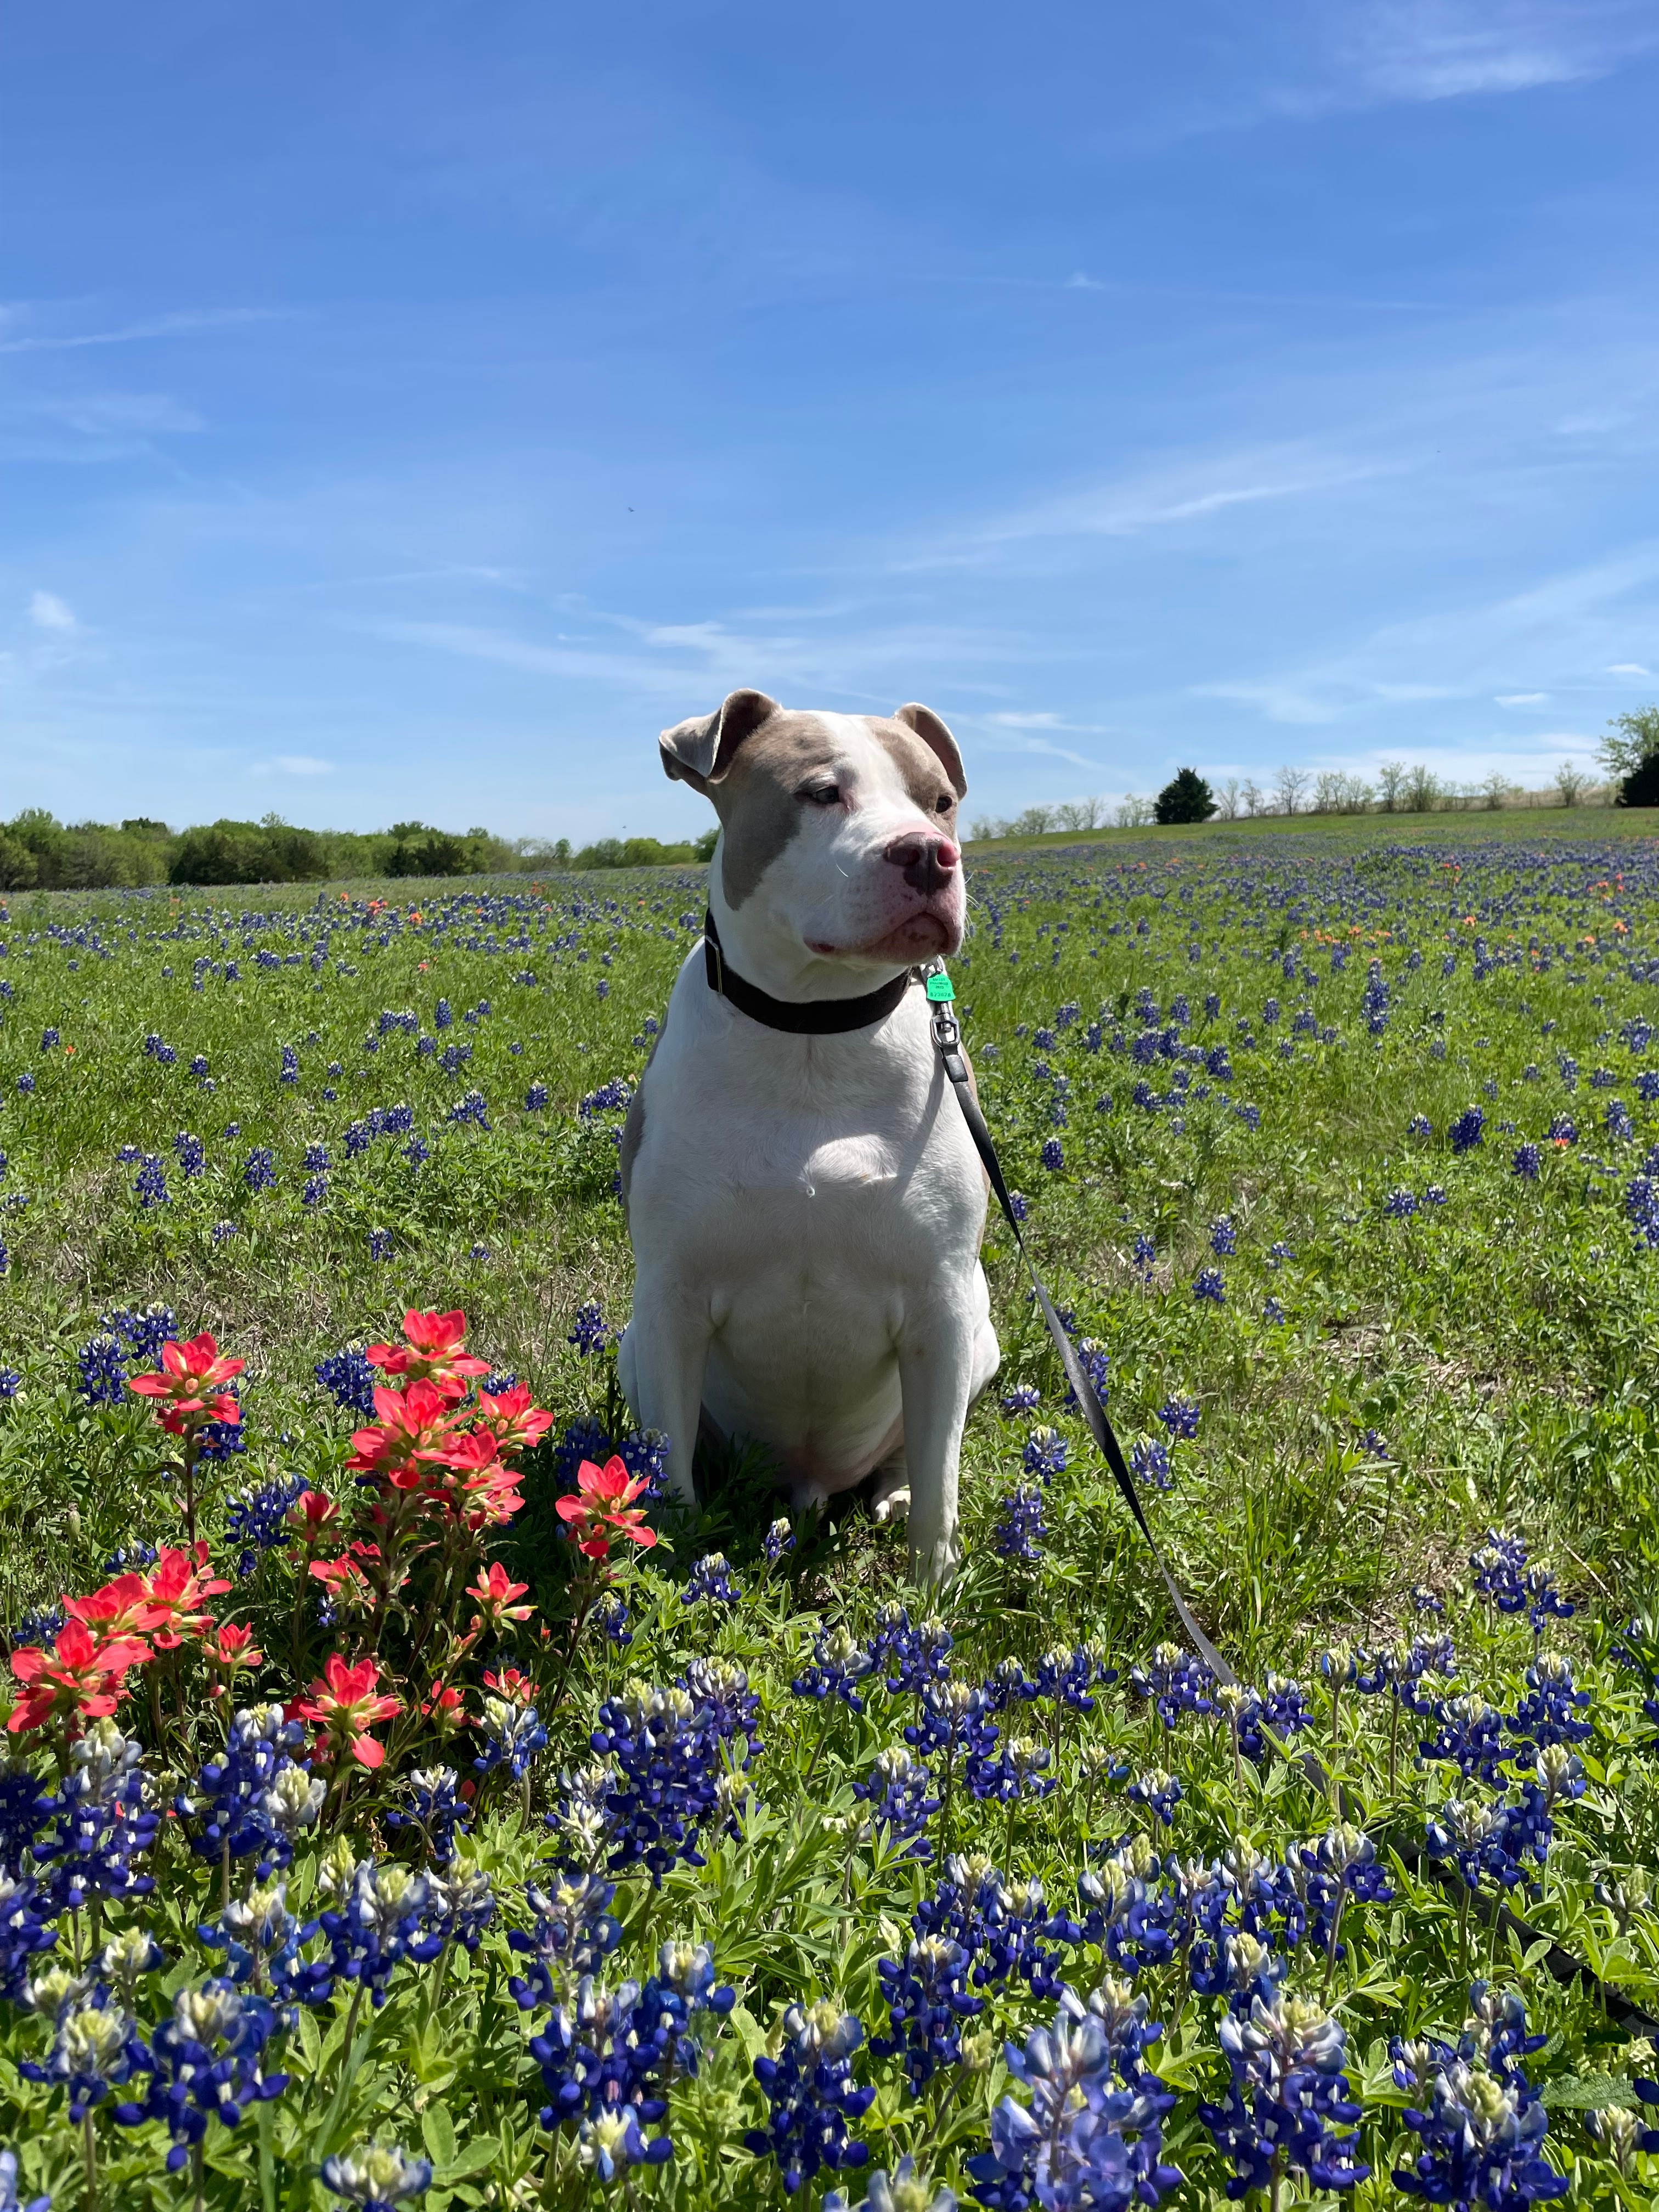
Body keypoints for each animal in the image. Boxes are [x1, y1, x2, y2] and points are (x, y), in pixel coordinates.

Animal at [619, 681, 1000, 1583]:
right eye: (823, 792)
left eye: (942, 800)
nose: (931, 854)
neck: (813, 1032)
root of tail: (809, 1483)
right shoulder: (671, 1296)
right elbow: (670, 1472)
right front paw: (677, 1567)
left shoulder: (940, 1299)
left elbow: (941, 1485)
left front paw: (933, 1594)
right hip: (629, 1341)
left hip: (982, 1332)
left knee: (912, 1455)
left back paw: (889, 1492)